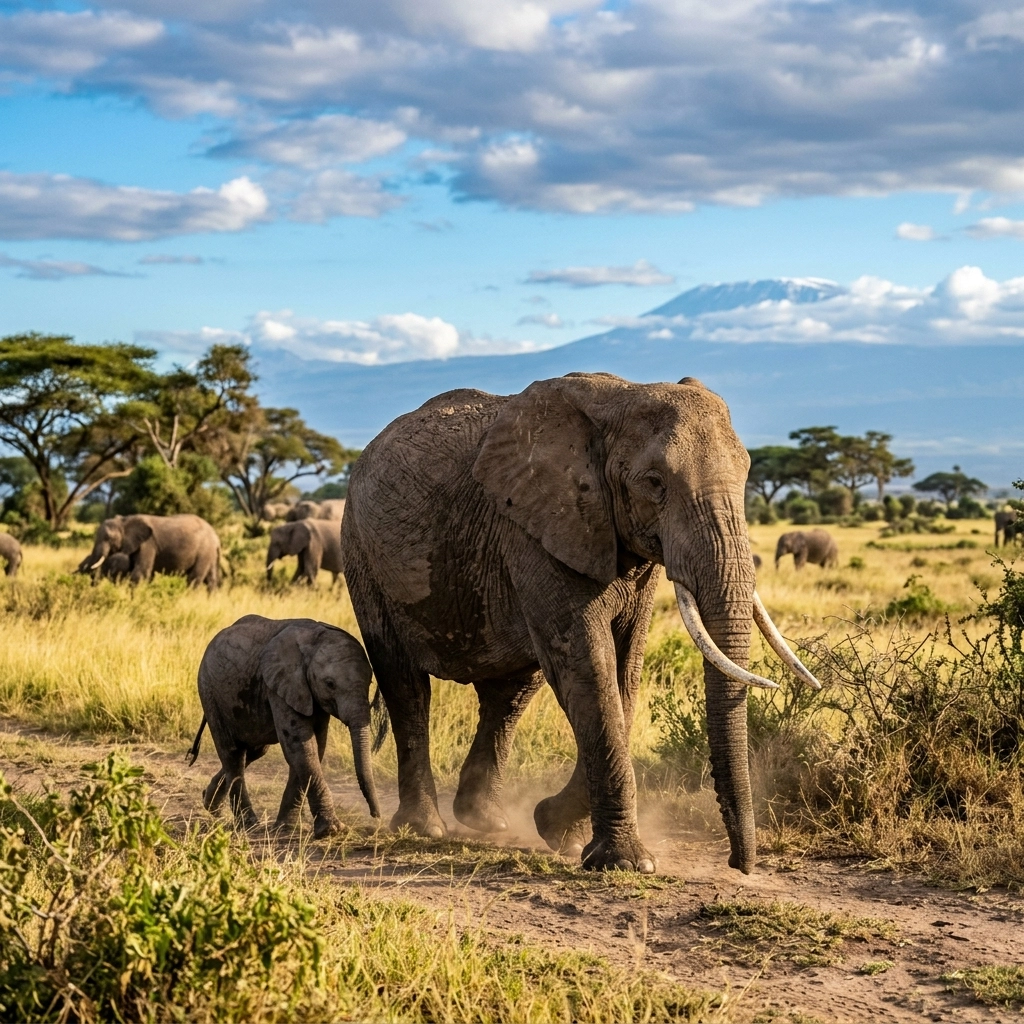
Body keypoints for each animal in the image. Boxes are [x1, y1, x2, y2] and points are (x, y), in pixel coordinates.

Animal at [77, 513, 221, 590]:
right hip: (210, 553)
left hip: (204, 551)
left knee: (194, 578)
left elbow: (141, 572)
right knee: (211, 580)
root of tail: (216, 537)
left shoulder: (148, 544)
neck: (125, 520)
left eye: (108, 538)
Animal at [186, 614, 382, 837]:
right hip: (209, 691)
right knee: (233, 754)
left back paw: (209, 803)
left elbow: (313, 747)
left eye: (370, 683)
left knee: (253, 752)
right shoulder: (281, 685)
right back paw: (248, 824)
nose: (376, 816)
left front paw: (287, 828)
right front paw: (332, 830)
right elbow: (301, 746)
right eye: (330, 684)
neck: (315, 639)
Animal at [341, 373, 818, 874]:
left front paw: (556, 831)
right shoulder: (538, 528)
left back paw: (485, 821)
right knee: (405, 684)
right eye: (654, 483)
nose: (739, 864)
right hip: (362, 553)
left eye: (747, 473)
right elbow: (589, 669)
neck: (622, 396)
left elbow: (624, 675)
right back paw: (425, 828)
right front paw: (625, 863)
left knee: (511, 691)